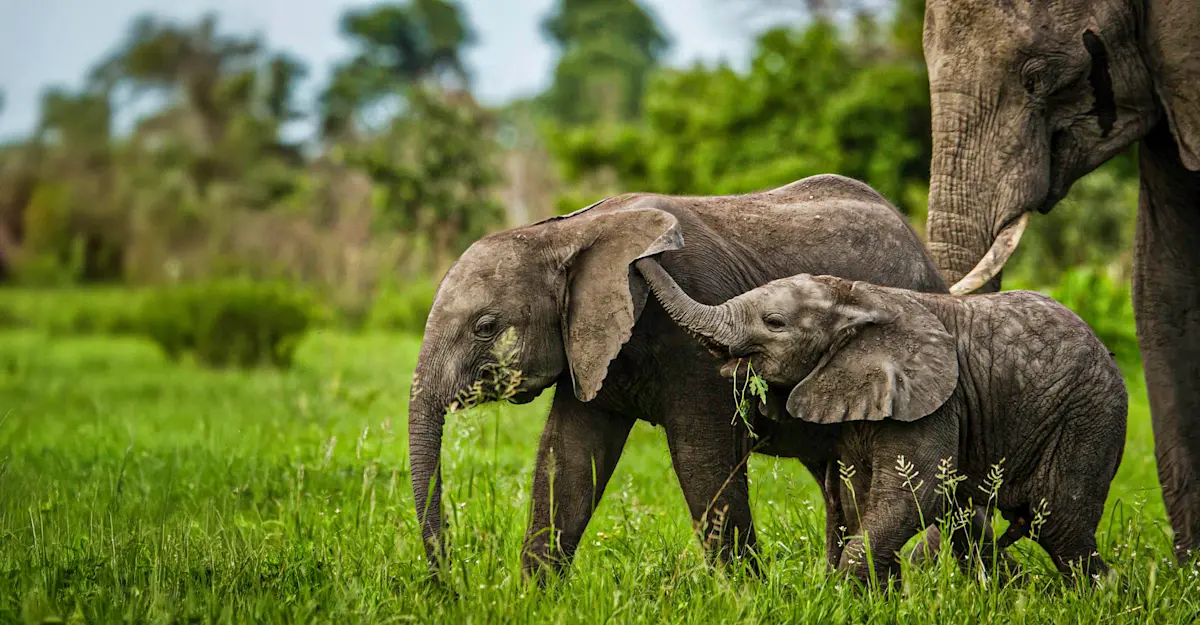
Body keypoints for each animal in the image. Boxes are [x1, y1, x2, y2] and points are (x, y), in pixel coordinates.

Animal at [408, 175, 960, 580]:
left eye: (485, 327)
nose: (450, 582)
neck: (567, 233)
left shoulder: (693, 340)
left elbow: (702, 460)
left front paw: (747, 599)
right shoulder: (586, 346)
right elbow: (568, 459)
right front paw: (532, 600)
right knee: (835, 480)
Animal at [634, 257, 1129, 586]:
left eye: (774, 323)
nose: (642, 259)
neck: (857, 297)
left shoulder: (934, 402)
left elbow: (915, 495)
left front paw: (841, 594)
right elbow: (857, 495)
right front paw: (875, 596)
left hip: (1090, 417)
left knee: (1060, 525)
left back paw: (1103, 595)